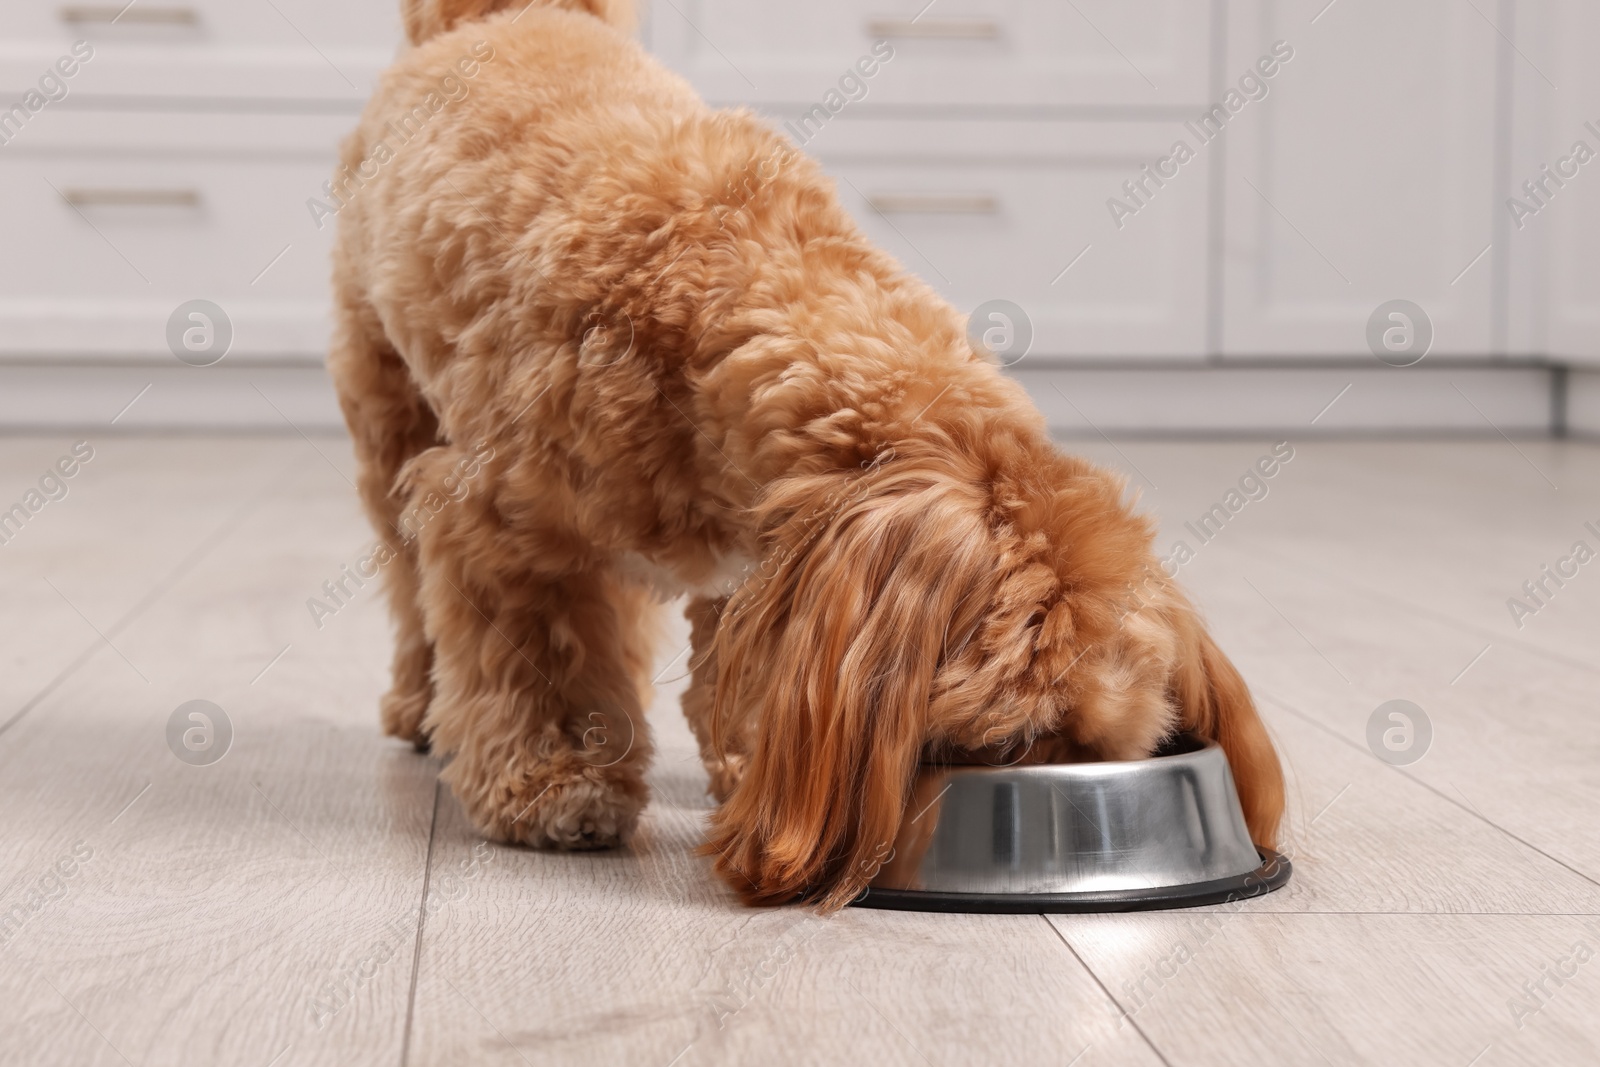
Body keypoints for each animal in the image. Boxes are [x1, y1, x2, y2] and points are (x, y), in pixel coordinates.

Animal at [328, 0, 1286, 908]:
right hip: (389, 419)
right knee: (412, 589)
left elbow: (739, 678)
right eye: (1012, 738)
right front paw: (558, 779)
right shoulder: (496, 525)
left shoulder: (761, 574)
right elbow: (538, 663)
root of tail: (502, 18)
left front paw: (748, 771)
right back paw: (420, 705)